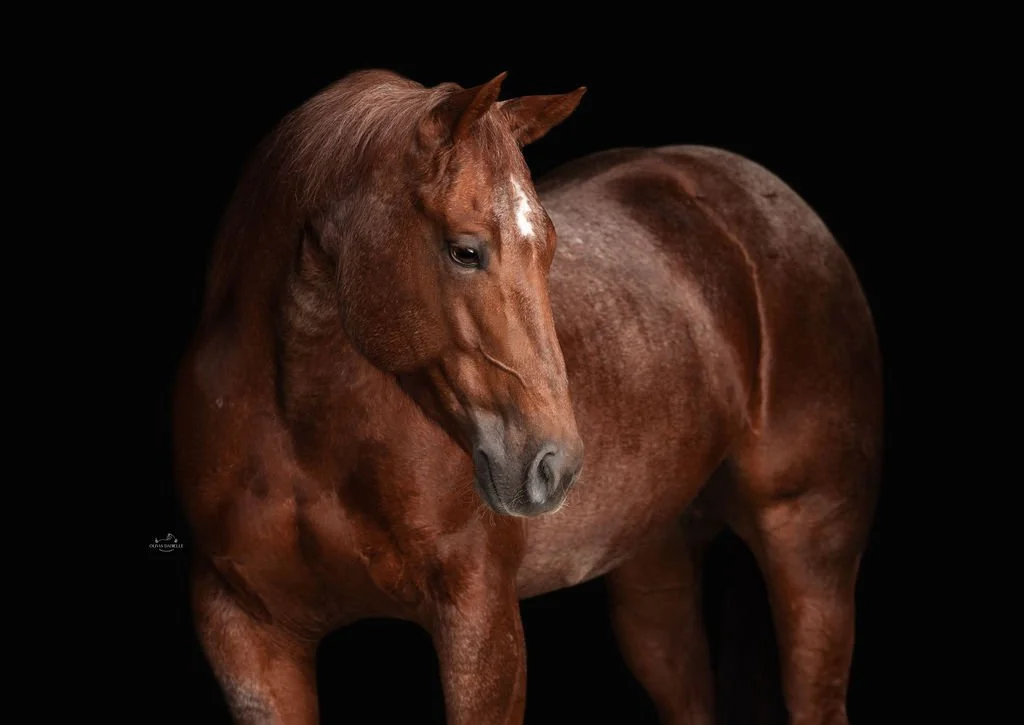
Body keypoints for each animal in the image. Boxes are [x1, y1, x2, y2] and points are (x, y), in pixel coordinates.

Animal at [173, 69, 882, 724]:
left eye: (549, 247)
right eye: (465, 251)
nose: (555, 465)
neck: (301, 436)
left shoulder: (481, 621)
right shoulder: (247, 638)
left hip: (809, 545)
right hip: (654, 568)